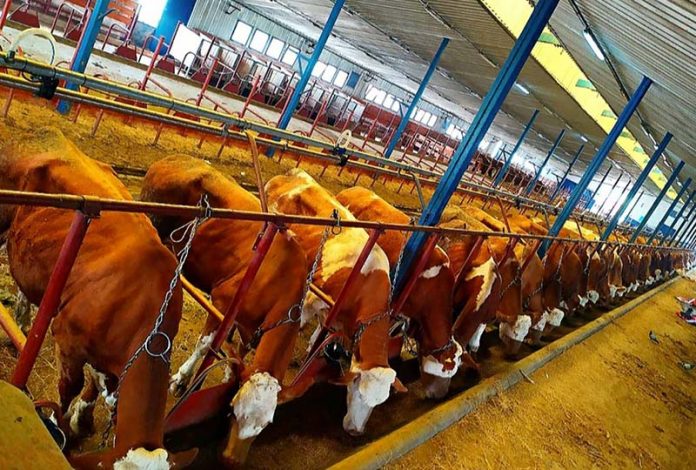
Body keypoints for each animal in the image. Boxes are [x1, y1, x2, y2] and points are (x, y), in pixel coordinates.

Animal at [0, 128, 195, 469]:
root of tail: (49, 133)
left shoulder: (109, 358)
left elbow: (100, 390)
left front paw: (83, 420)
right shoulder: (69, 341)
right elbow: (70, 388)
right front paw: (60, 423)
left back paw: (22, 323)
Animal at [140, 155, 309, 466]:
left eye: (266, 425)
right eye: (232, 412)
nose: (230, 460)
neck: (279, 279)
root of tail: (174, 158)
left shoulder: (247, 326)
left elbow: (236, 354)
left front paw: (229, 375)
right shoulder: (222, 301)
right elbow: (206, 343)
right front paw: (182, 379)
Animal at [265, 169, 397, 436]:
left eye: (379, 403)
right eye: (357, 391)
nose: (356, 431)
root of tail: (297, 173)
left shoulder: (332, 315)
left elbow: (319, 336)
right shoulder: (311, 299)